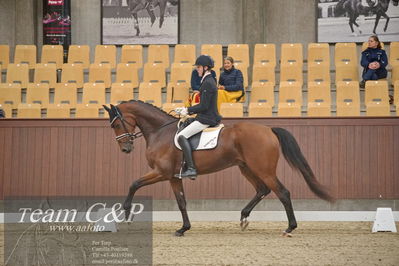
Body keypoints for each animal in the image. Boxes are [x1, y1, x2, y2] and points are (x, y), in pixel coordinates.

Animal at [103, 101, 334, 237]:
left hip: (263, 169)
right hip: (246, 168)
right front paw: (183, 228)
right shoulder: (174, 177)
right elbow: (181, 202)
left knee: (283, 192)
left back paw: (289, 228)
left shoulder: (162, 173)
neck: (160, 132)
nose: (125, 148)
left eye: (116, 124)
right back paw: (244, 217)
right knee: (262, 189)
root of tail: (268, 129)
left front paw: (126, 213)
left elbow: (134, 184)